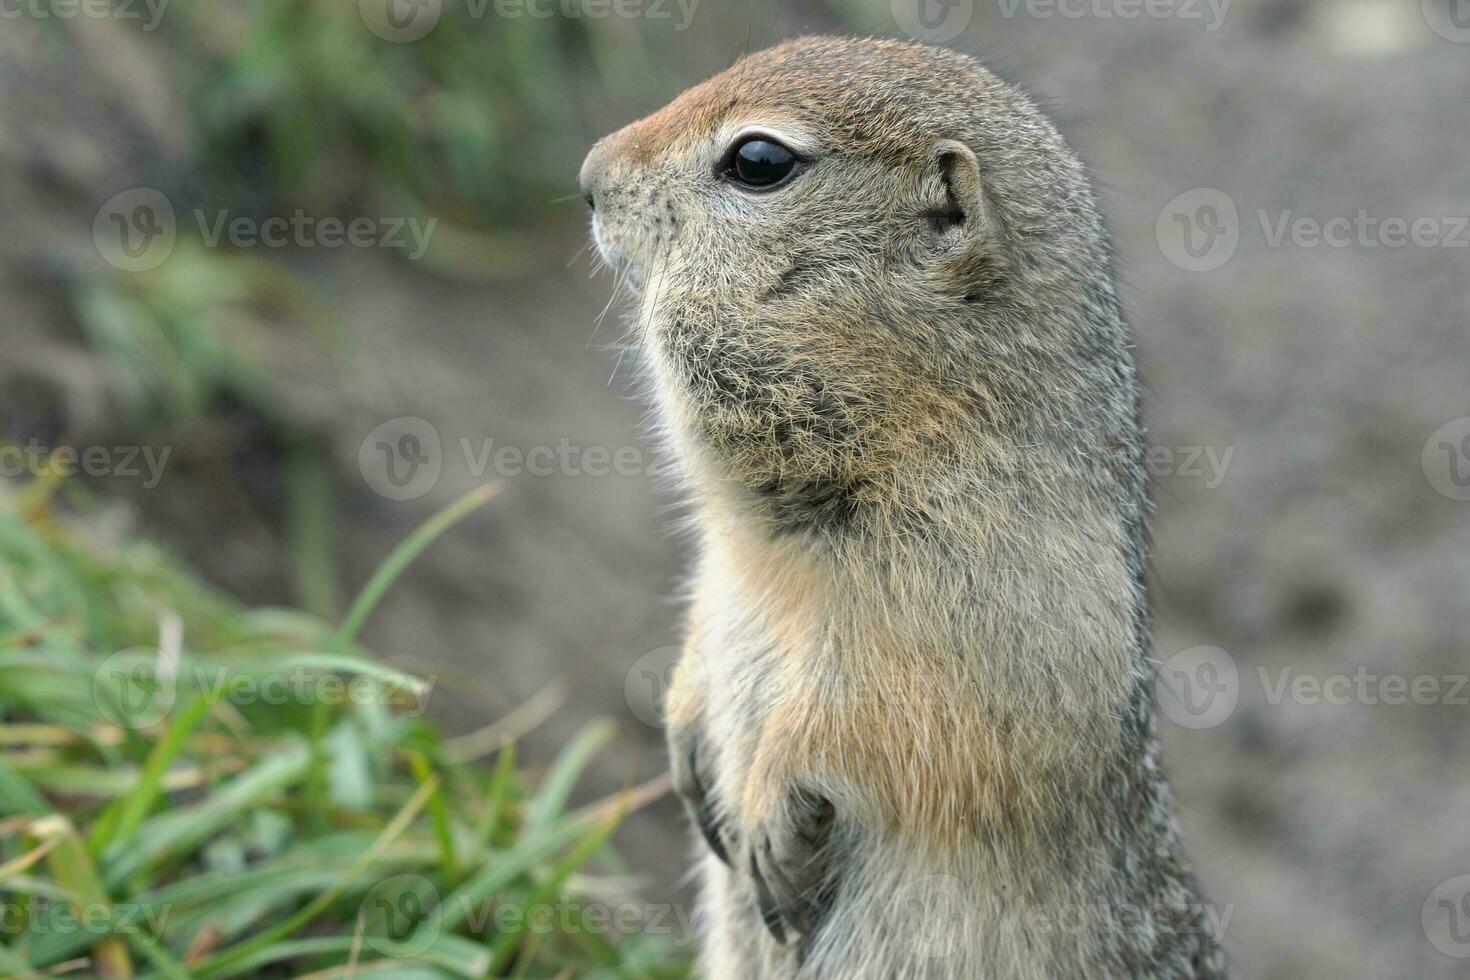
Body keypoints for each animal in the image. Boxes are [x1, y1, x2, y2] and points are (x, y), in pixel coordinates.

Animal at [579, 34, 1223, 975]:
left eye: (759, 161)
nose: (588, 175)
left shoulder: (984, 588)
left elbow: (892, 714)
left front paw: (768, 817)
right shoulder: (723, 569)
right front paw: (686, 744)